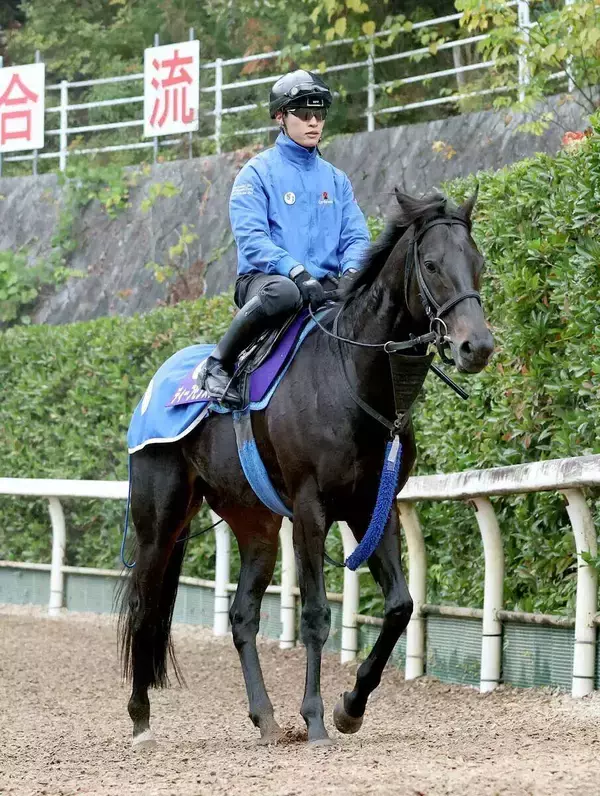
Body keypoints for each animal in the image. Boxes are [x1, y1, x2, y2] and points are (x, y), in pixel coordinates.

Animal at [119, 189, 494, 749]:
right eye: (430, 264)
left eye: (479, 263)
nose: (477, 346)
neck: (351, 381)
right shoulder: (310, 510)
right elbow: (317, 613)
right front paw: (316, 717)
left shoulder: (372, 508)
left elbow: (400, 606)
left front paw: (350, 707)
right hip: (159, 522)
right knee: (145, 606)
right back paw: (141, 718)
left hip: (255, 524)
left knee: (242, 615)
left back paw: (265, 717)